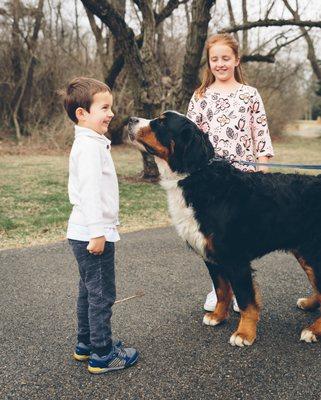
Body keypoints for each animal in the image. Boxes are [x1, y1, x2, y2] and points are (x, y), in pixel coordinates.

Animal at [127, 110, 320, 346]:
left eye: (162, 123)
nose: (130, 120)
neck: (196, 177)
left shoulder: (236, 258)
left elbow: (245, 299)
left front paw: (244, 333)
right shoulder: (211, 255)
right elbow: (222, 290)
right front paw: (218, 316)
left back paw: (313, 330)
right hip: (306, 253)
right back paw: (309, 304)